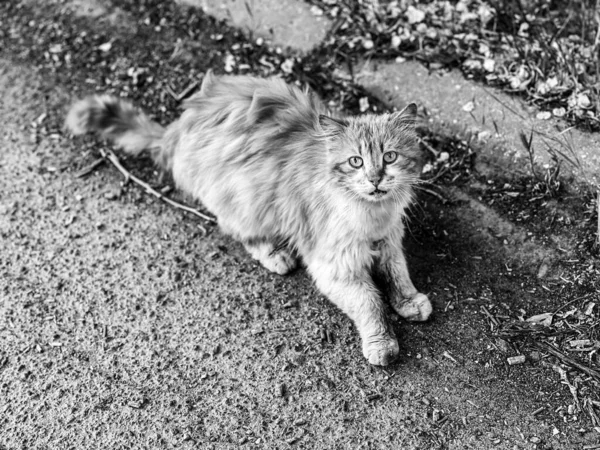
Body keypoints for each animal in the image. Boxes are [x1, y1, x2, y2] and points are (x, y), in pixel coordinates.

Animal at [64, 71, 432, 366]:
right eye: (356, 161)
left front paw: (409, 302)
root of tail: (180, 125)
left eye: (390, 157)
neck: (372, 216)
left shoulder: (389, 243)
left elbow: (398, 276)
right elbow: (371, 303)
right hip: (246, 203)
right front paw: (382, 342)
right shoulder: (336, 266)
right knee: (240, 233)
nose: (375, 179)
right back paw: (276, 254)